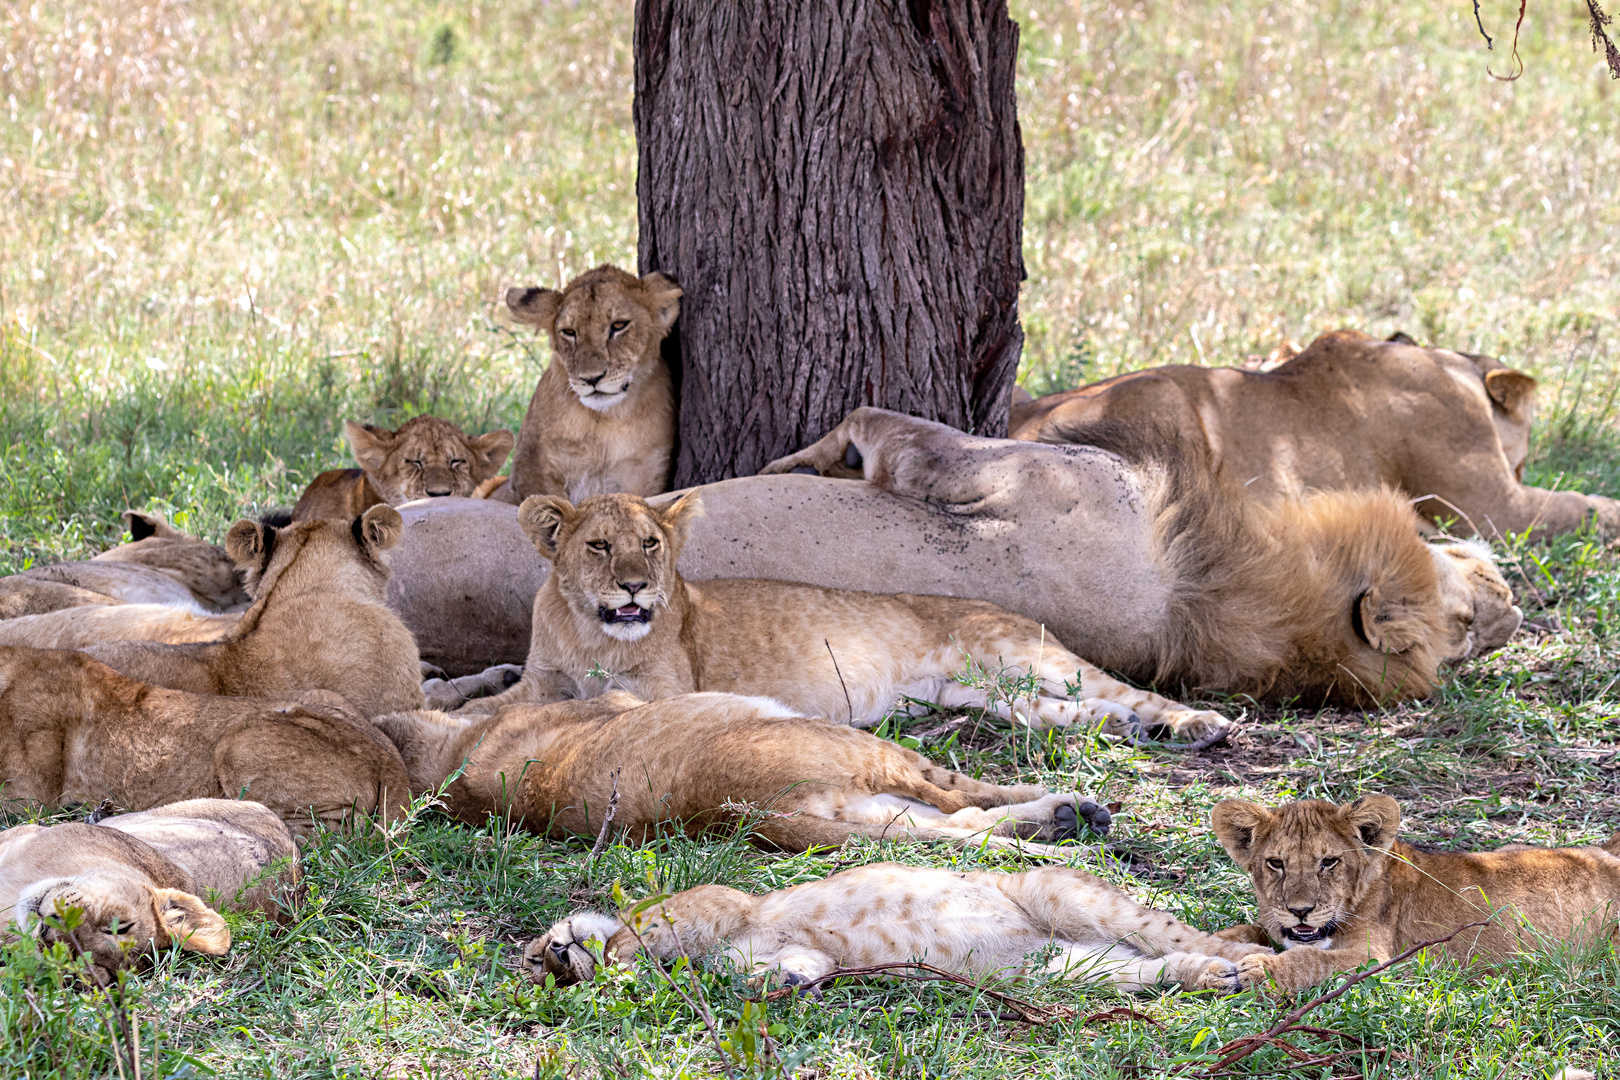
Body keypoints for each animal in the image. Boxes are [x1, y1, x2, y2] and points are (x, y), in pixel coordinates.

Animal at [427, 488, 1224, 744]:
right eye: (598, 546)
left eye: (650, 546)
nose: (634, 588)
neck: (594, 631)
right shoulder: (543, 680)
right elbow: (494, 703)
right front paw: (449, 711)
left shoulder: (666, 691)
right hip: (990, 695)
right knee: (1067, 714)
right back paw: (1130, 731)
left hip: (1022, 655)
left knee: (1126, 690)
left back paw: (1195, 725)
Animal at [1211, 793, 1620, 990]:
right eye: (1276, 863)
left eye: (1329, 862)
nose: (1300, 911)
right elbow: (1244, 930)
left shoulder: (1377, 958)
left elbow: (1313, 959)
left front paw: (1262, 969)